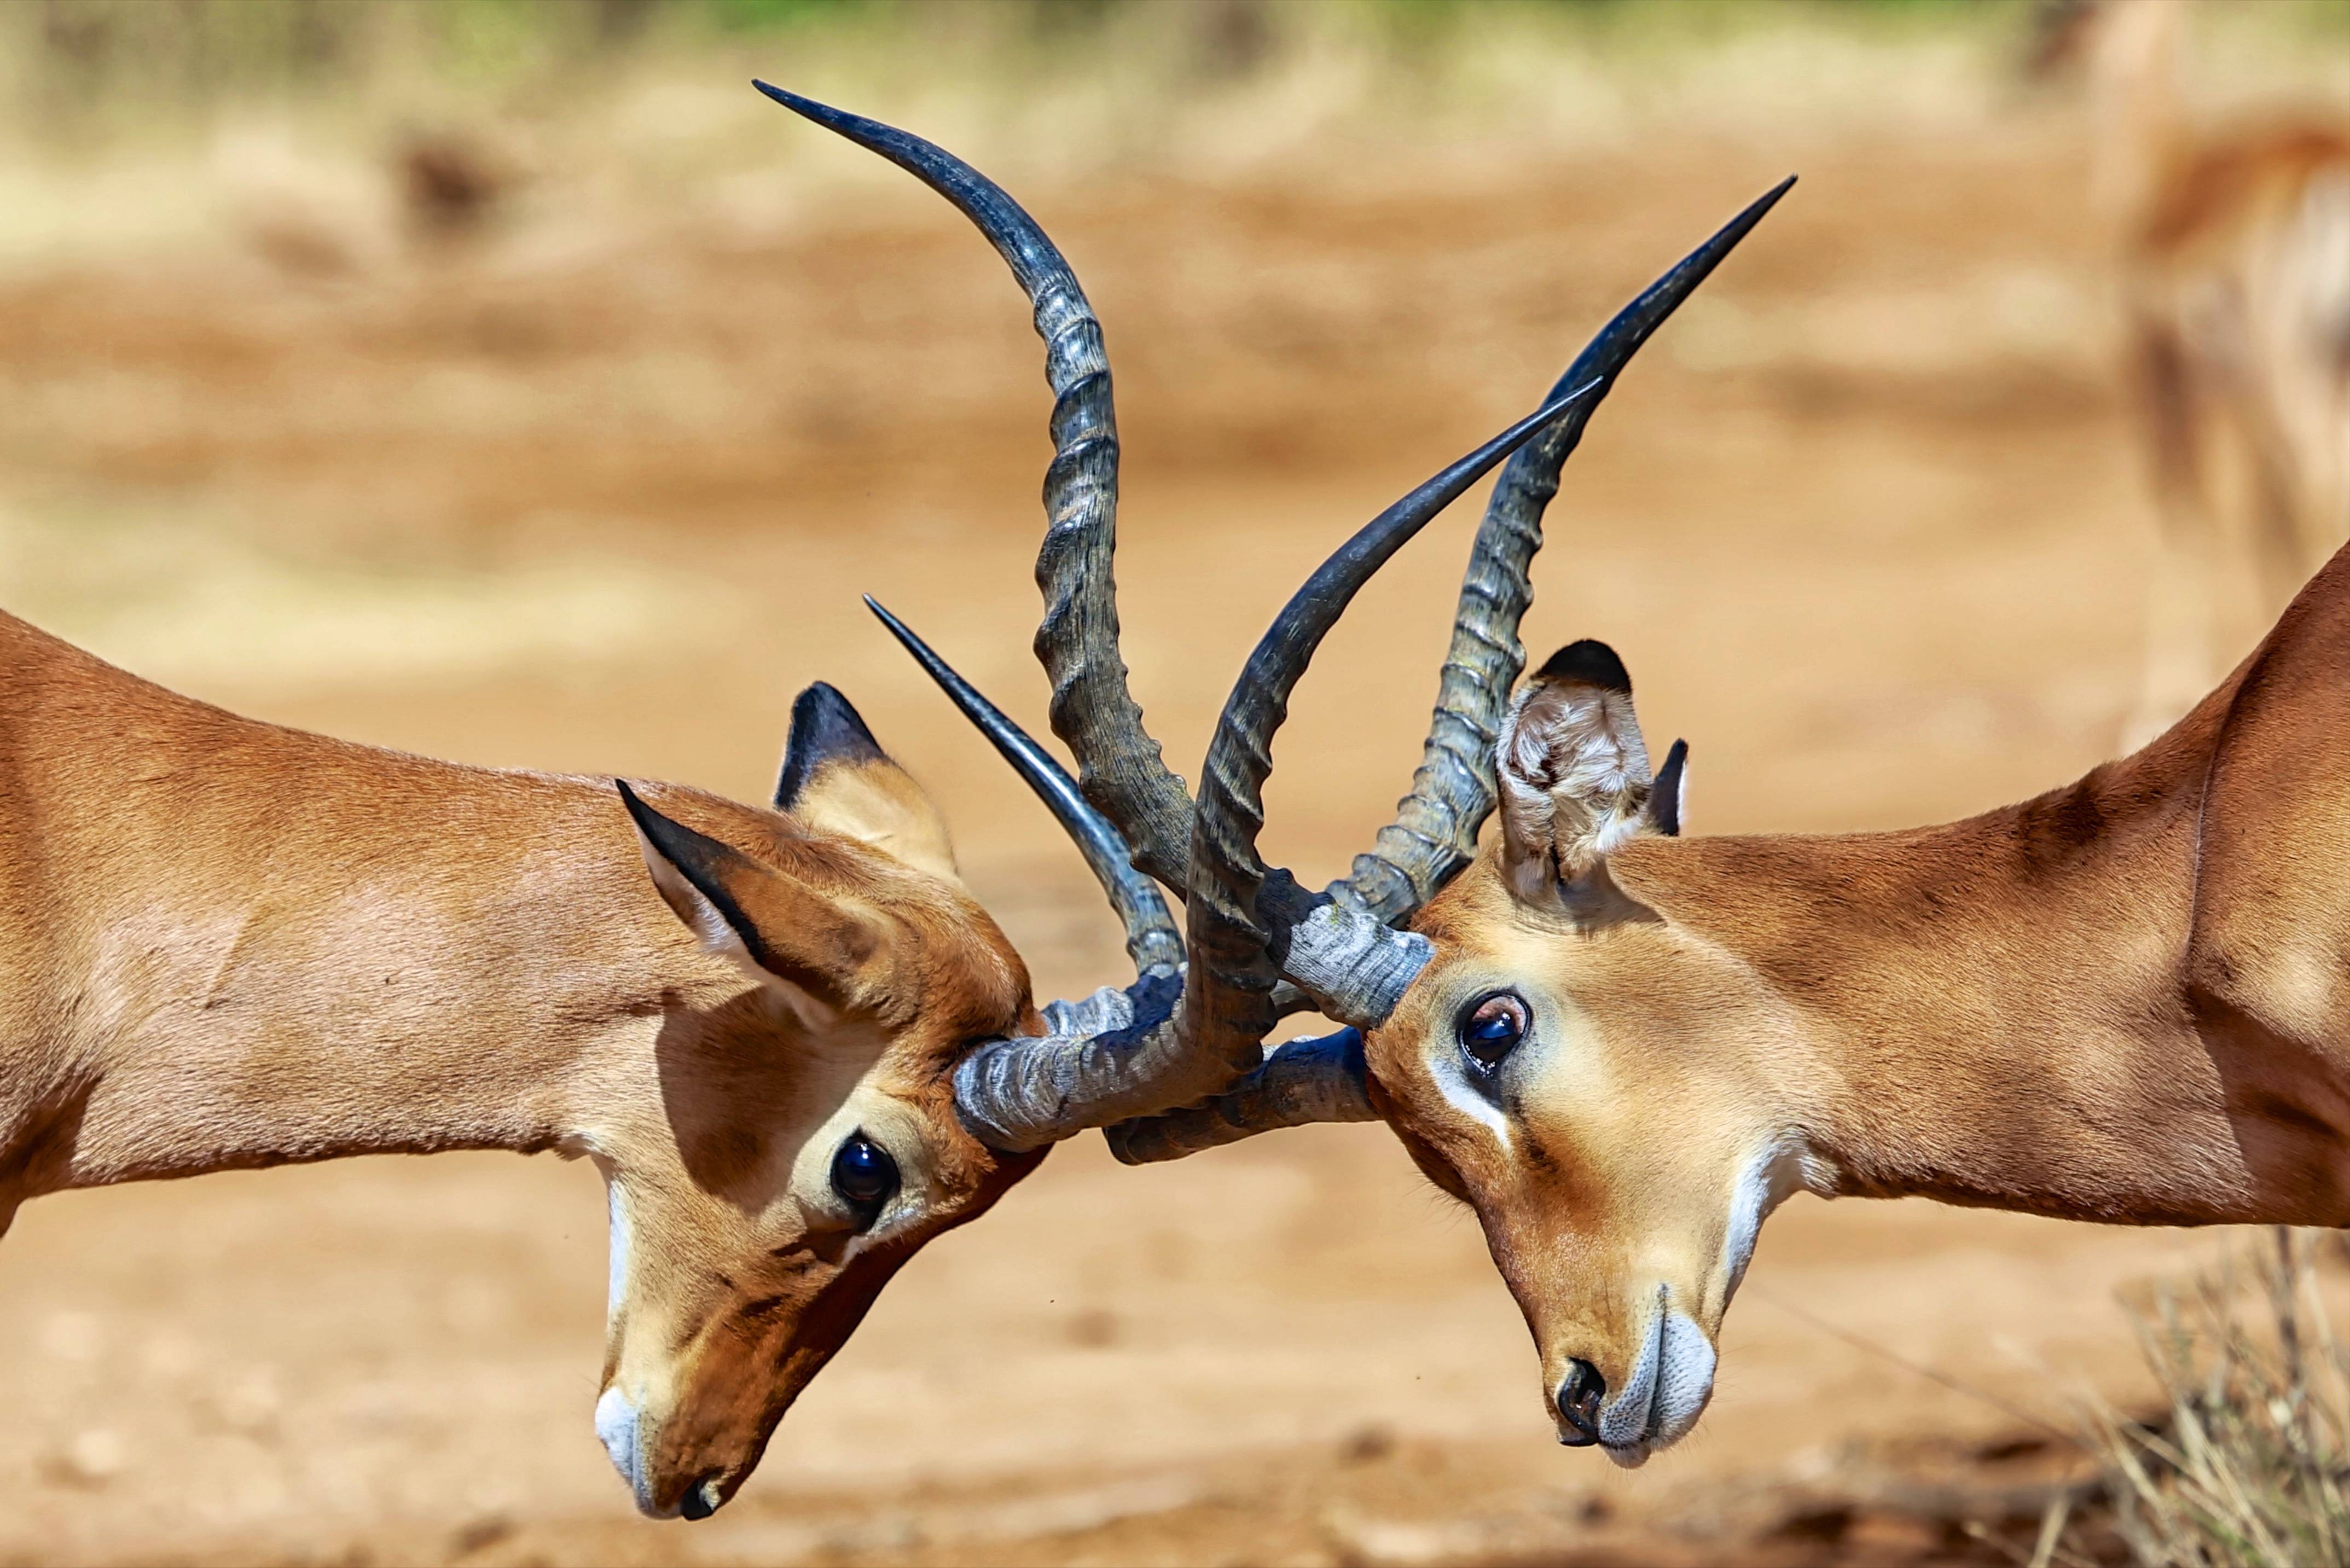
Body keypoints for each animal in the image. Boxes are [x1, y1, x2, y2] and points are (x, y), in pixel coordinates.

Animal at [2031, 0, 2350, 748]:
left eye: (2075, 9)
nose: (2030, 58)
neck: (2164, 177)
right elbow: (2262, 520)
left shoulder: (2161, 374)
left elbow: (2185, 511)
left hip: (2287, 381)